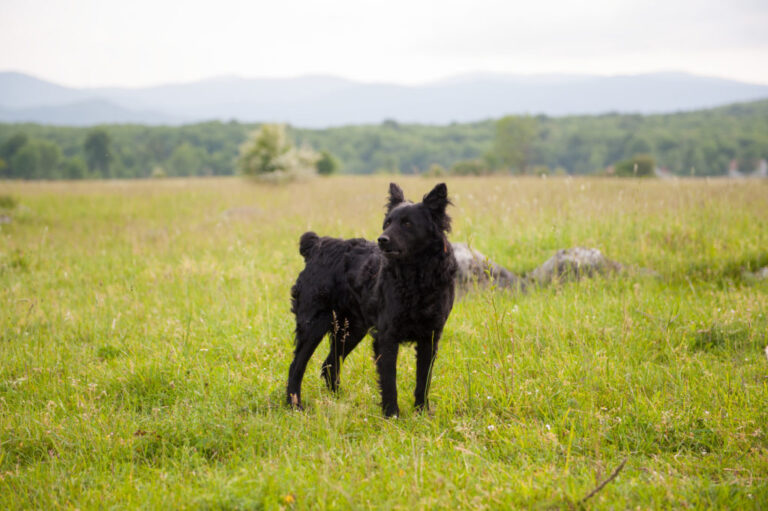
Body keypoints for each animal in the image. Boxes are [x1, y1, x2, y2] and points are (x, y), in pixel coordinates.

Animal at [288, 183, 456, 416]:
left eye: (407, 223)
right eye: (388, 223)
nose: (382, 239)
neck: (416, 276)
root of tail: (316, 245)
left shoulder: (430, 336)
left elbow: (423, 380)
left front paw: (422, 412)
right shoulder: (386, 335)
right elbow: (389, 380)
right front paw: (392, 414)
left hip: (351, 329)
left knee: (329, 365)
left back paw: (339, 401)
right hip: (314, 324)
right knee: (296, 366)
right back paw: (294, 405)